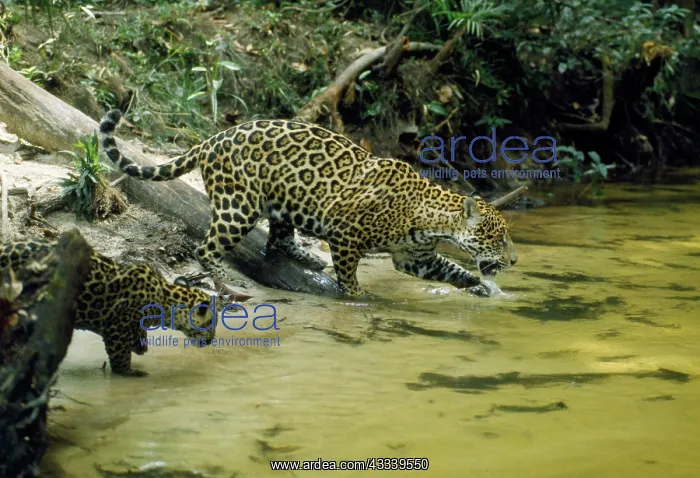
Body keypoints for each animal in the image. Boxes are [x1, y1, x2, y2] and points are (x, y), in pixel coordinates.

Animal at [0, 237, 218, 376]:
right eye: (210, 324)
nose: (211, 340)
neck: (164, 300)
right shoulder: (117, 326)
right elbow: (119, 354)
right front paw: (129, 371)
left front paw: (141, 346)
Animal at [98, 109, 517, 298]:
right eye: (498, 238)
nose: (514, 261)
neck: (432, 219)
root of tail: (212, 139)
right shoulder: (347, 235)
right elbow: (348, 275)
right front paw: (359, 298)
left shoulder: (415, 258)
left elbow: (452, 269)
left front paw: (483, 288)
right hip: (239, 205)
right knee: (207, 247)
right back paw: (226, 284)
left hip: (282, 201)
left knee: (277, 239)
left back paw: (307, 257)